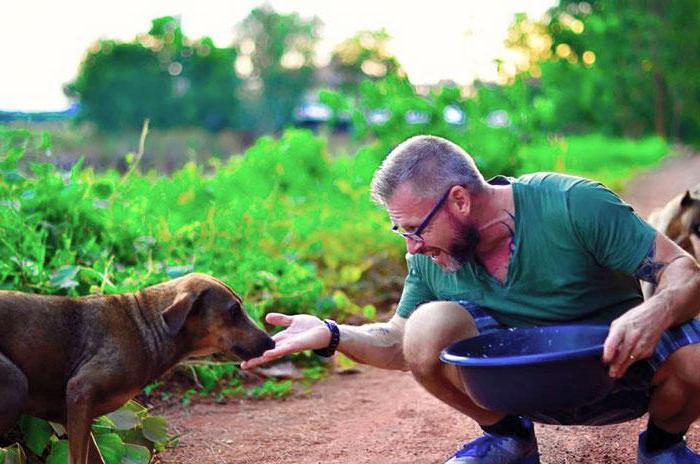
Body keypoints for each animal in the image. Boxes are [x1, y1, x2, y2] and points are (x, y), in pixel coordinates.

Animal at [0, 274, 274, 464]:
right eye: (234, 311)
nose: (270, 342)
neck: (145, 326)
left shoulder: (74, 416)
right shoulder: (81, 392)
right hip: (14, 385)